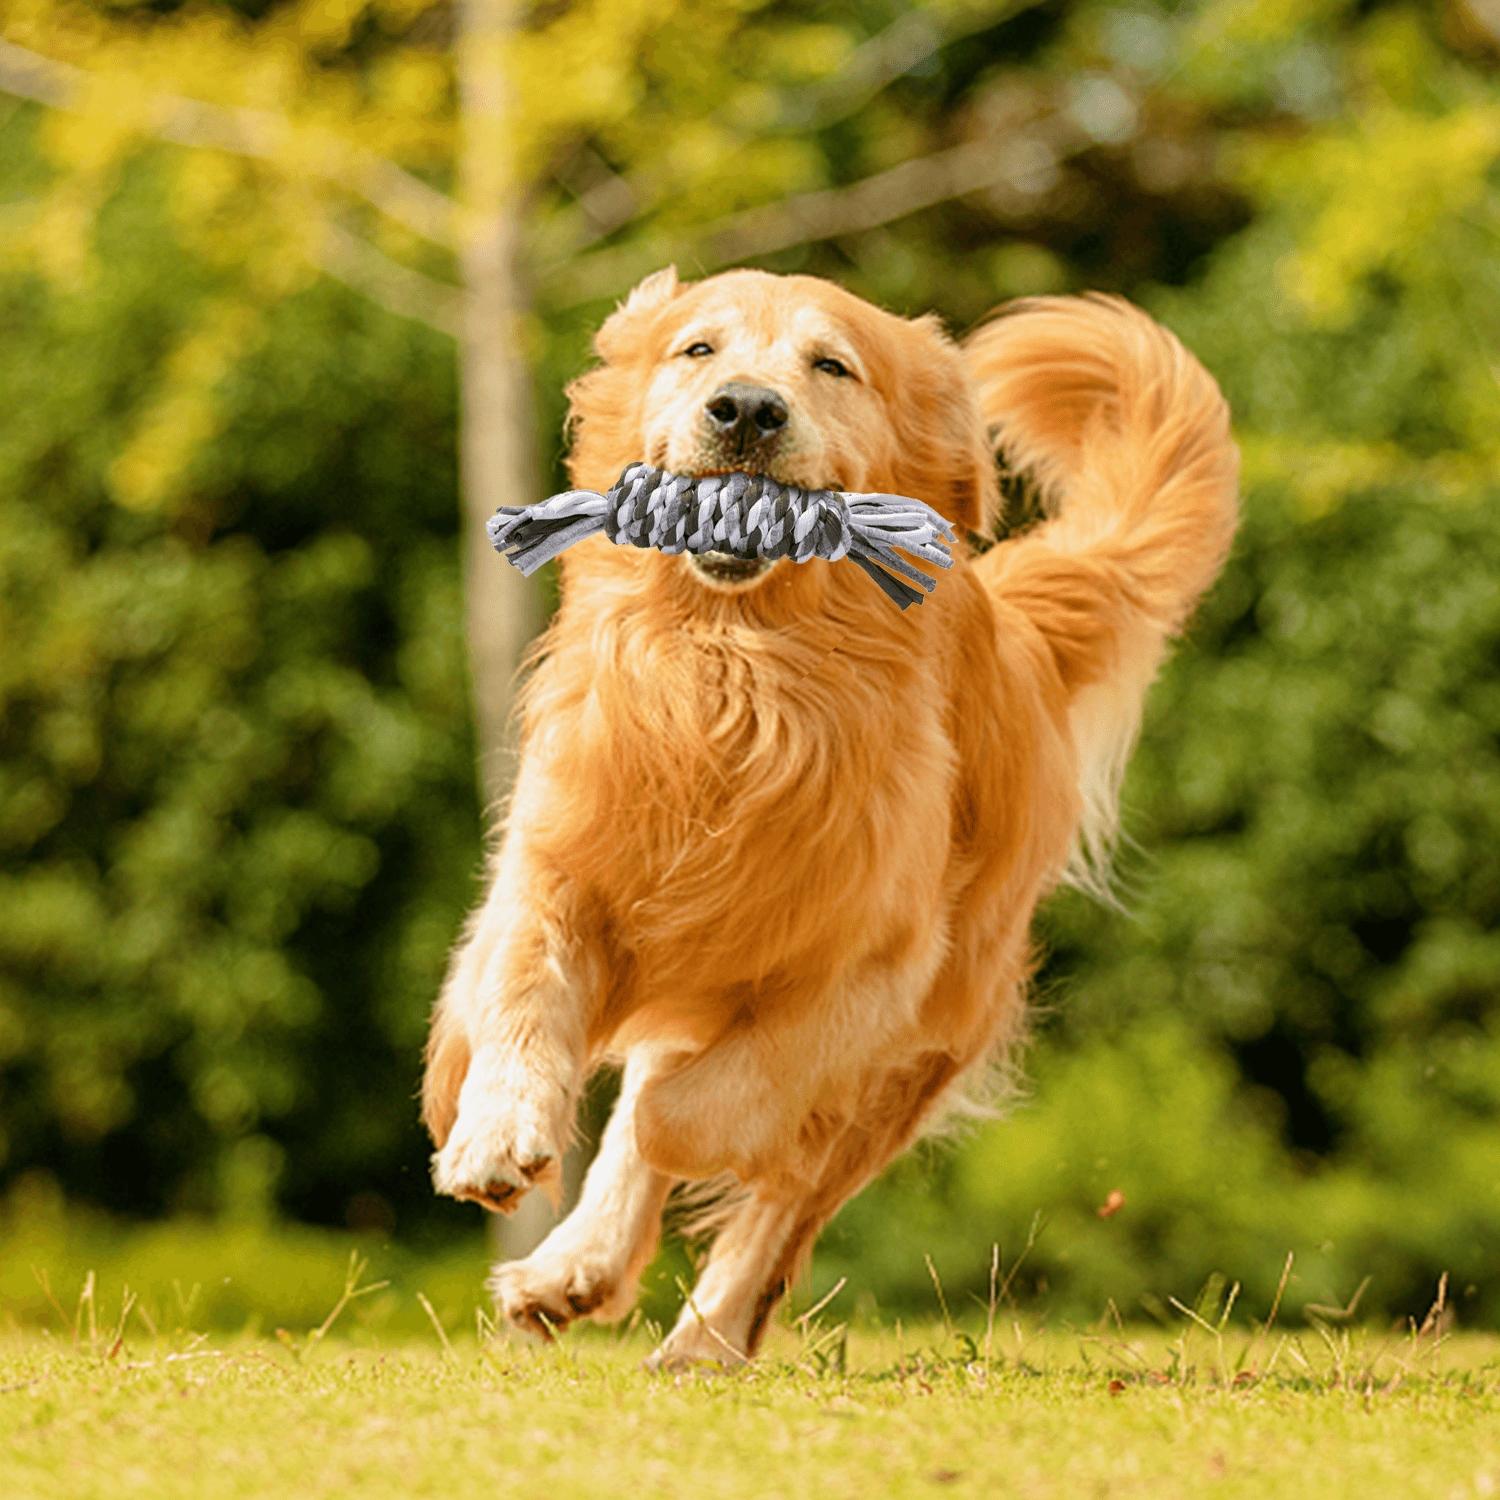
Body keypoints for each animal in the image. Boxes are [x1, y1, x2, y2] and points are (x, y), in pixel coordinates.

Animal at [426, 264, 1242, 1368]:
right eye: (698, 350)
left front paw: (668, 1145)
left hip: (925, 1045)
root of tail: (1016, 631)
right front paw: (494, 1136)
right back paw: (573, 1269)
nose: (745, 409)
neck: (736, 672)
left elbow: (700, 1109)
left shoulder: (874, 973)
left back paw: (702, 1338)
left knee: (783, 1198)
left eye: (832, 365)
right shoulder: (555, 867)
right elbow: (523, 998)